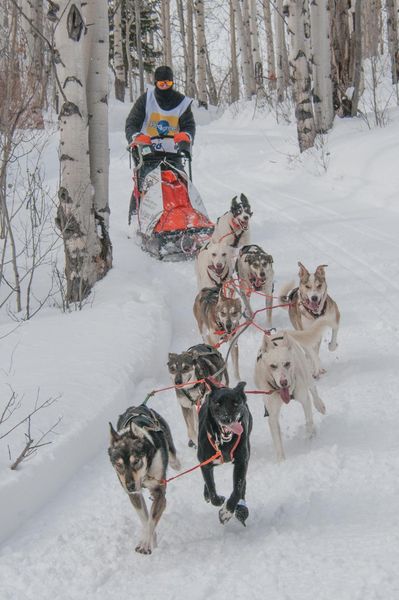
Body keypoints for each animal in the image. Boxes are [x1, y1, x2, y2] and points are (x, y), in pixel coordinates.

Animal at [108, 406, 180, 556]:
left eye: (136, 461)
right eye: (119, 465)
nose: (130, 486)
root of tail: (139, 406)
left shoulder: (159, 493)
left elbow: (151, 520)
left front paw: (144, 544)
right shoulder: (135, 496)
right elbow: (145, 520)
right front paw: (152, 540)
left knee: (173, 455)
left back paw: (176, 463)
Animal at [198, 380, 253, 524]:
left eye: (235, 403)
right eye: (218, 403)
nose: (226, 419)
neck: (224, 444)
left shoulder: (241, 462)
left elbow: (237, 489)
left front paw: (227, 512)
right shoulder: (205, 463)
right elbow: (211, 489)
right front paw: (218, 500)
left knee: (242, 485)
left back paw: (241, 508)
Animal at [255, 322, 330, 462]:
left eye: (287, 364)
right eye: (273, 366)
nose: (284, 382)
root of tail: (280, 333)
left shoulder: (305, 400)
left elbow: (309, 421)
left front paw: (310, 438)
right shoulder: (272, 416)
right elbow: (277, 441)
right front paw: (281, 462)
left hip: (306, 374)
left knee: (313, 390)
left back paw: (320, 405)